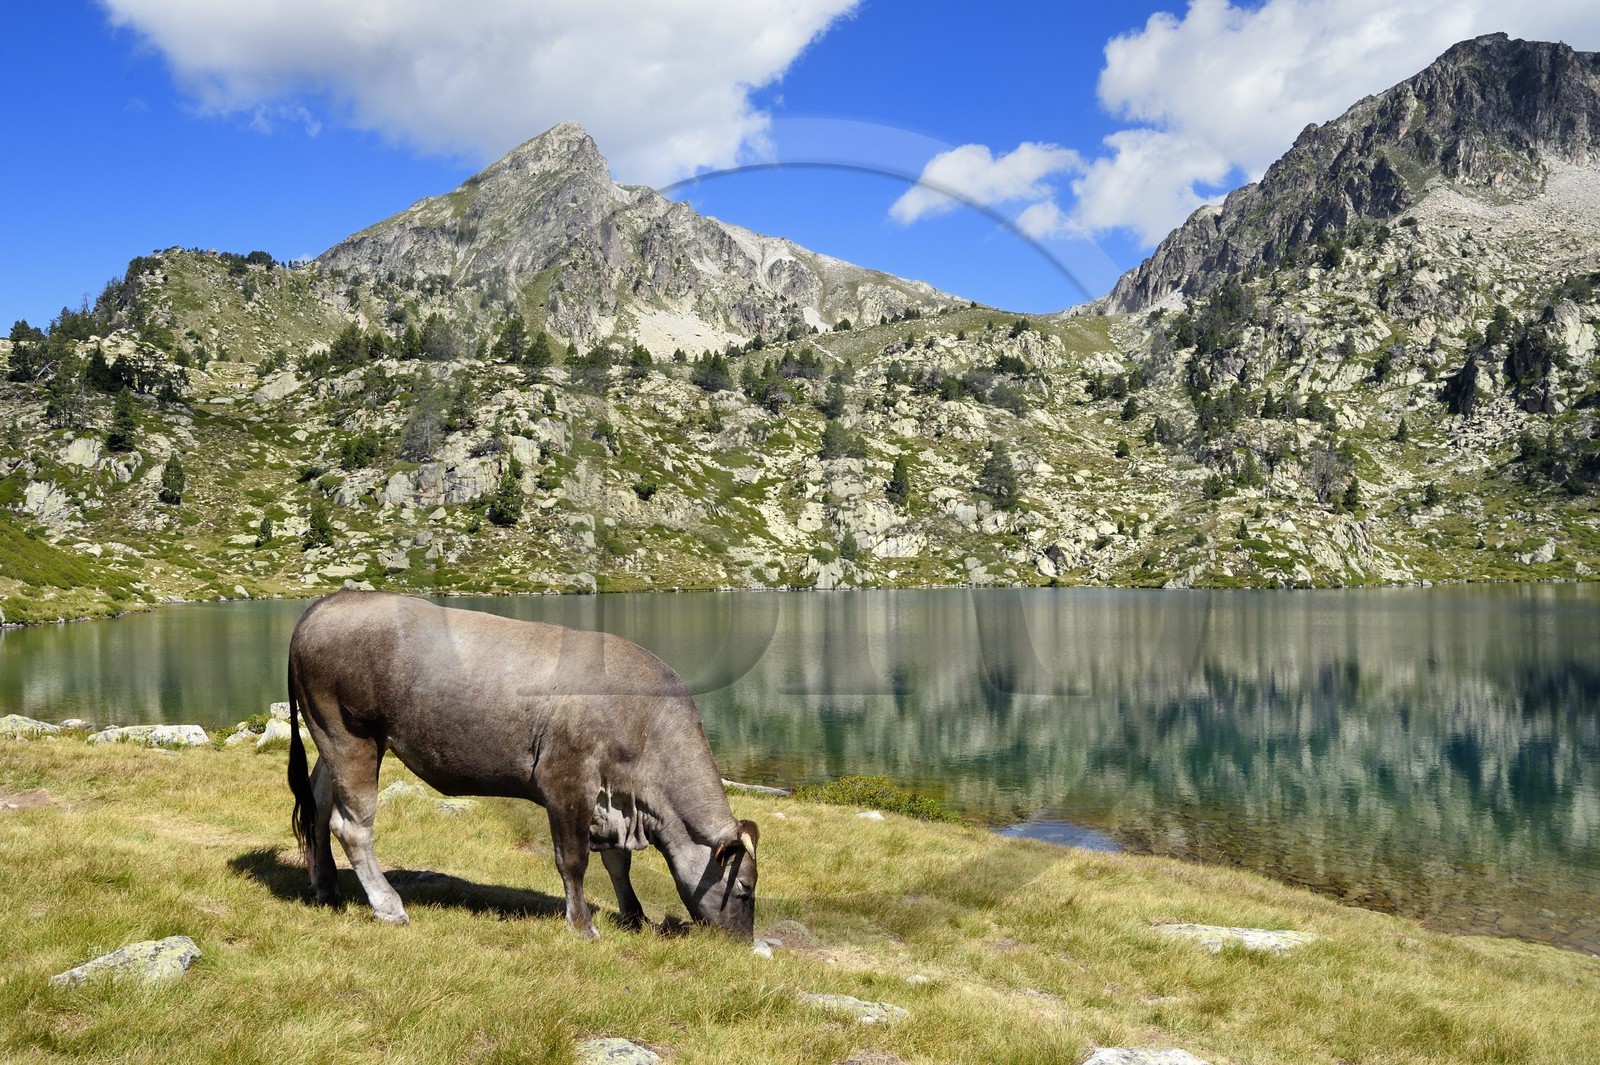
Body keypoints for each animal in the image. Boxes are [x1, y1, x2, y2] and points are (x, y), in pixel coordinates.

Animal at [285, 590, 759, 938]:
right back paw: (388, 906)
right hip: (352, 735)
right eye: (744, 887)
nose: (741, 941)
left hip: (329, 736)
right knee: (351, 825)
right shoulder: (566, 780)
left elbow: (617, 863)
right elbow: (574, 860)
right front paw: (583, 926)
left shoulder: (613, 799)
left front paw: (634, 915)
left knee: (319, 803)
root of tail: (332, 600)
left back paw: (326, 888)